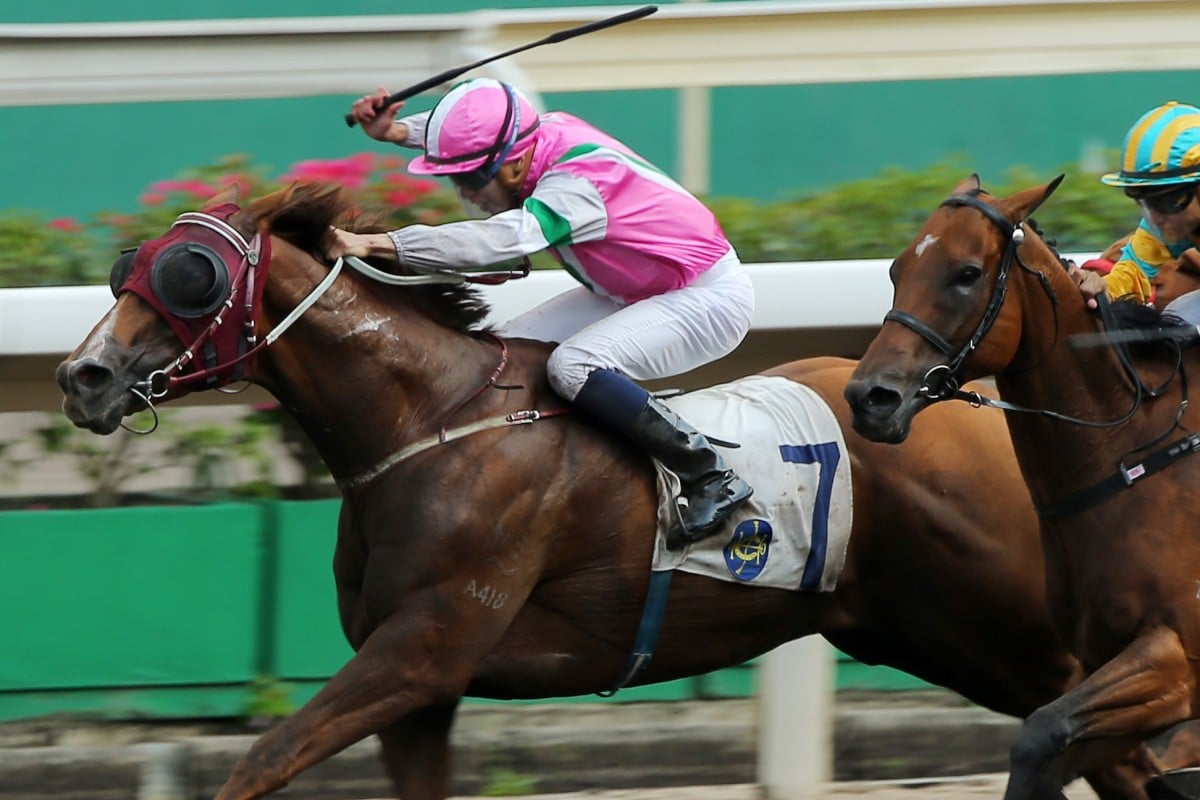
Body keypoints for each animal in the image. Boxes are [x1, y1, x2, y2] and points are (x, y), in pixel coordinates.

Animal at [56, 181, 1161, 800]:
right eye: (126, 266)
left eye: (191, 274)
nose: (83, 375)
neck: (426, 424)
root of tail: (964, 402)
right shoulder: (422, 692)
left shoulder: (419, 649)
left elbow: (257, 762)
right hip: (942, 635)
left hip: (1010, 626)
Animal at [840, 176, 1200, 800]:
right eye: (896, 268)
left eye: (966, 274)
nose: (869, 398)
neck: (1131, 452)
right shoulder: (1102, 659)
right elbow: (1062, 752)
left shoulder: (1179, 655)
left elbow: (1041, 733)